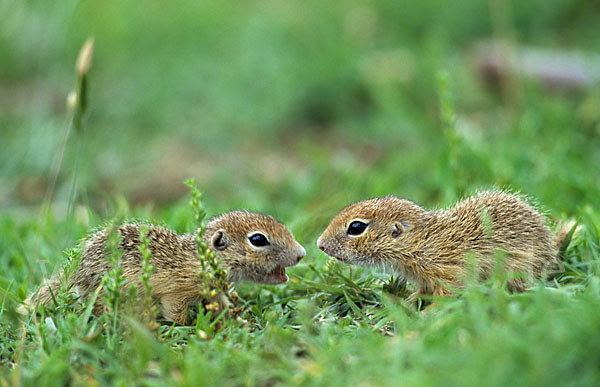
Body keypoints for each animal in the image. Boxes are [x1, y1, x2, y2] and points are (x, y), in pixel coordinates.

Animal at [28, 212, 304, 324]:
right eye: (258, 240)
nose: (302, 253)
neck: (199, 259)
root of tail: (75, 273)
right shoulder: (176, 293)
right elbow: (176, 312)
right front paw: (184, 328)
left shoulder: (213, 291)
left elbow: (223, 305)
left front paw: (238, 319)